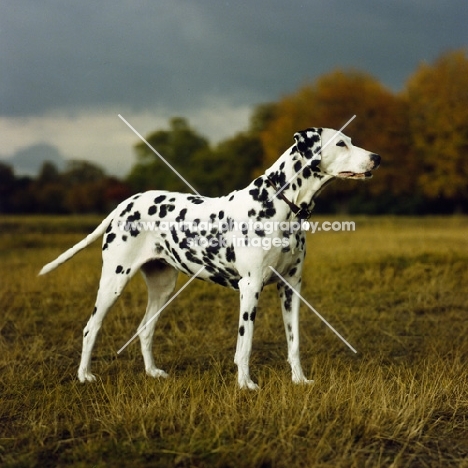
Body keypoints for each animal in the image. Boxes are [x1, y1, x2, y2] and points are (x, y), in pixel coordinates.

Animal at [40, 126, 380, 390]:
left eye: (350, 140)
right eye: (341, 143)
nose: (377, 158)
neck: (280, 204)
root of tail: (125, 203)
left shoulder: (291, 288)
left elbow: (293, 342)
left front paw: (299, 380)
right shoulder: (250, 288)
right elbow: (245, 343)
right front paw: (246, 384)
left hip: (162, 288)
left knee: (145, 329)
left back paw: (152, 372)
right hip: (113, 282)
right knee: (91, 328)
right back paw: (84, 375)